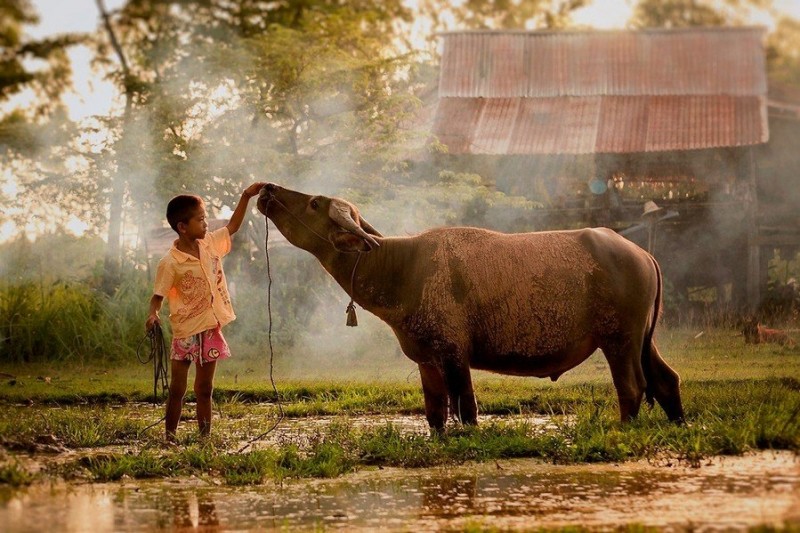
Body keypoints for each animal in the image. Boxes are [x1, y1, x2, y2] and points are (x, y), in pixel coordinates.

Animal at [260, 184, 684, 428]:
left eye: (314, 202)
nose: (266, 188)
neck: (404, 268)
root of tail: (643, 255)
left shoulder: (453, 353)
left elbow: (465, 408)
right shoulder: (427, 359)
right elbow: (435, 413)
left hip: (620, 339)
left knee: (632, 386)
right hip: (643, 339)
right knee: (666, 379)